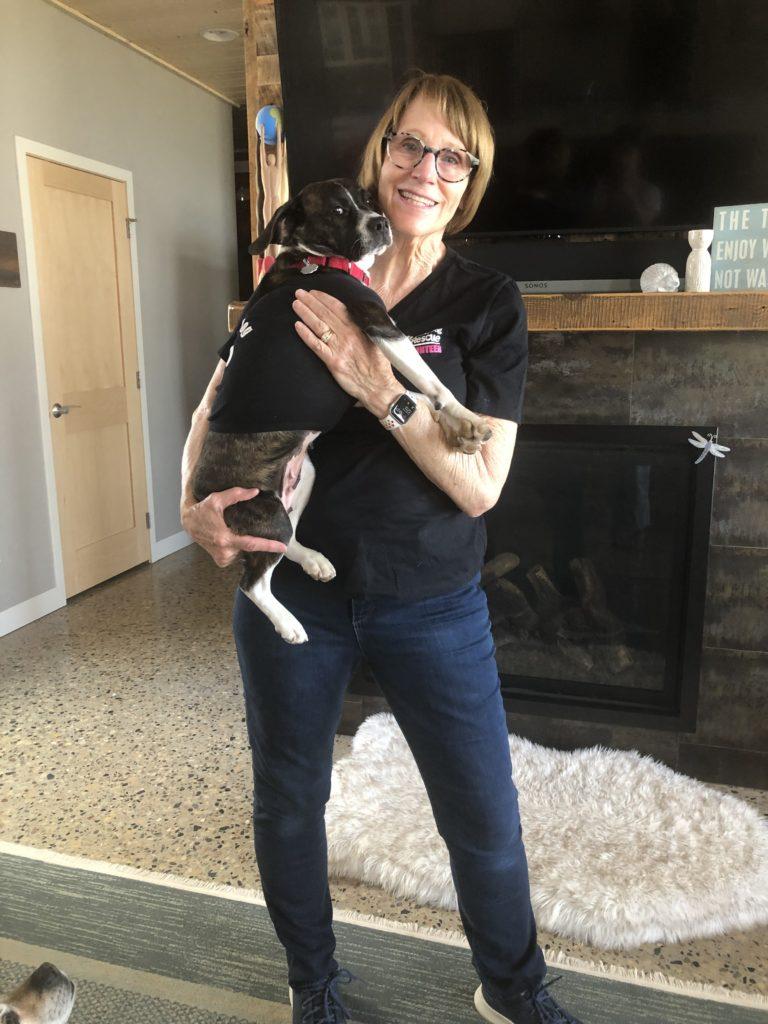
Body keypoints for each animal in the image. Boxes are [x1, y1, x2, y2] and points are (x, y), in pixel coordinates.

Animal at [192, 176, 493, 638]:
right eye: (337, 211)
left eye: (368, 201)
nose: (382, 222)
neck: (318, 262)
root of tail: (200, 494)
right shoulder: (376, 321)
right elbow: (429, 379)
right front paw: (463, 417)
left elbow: (412, 390)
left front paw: (444, 418)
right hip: (264, 511)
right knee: (253, 581)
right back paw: (288, 625)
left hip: (304, 478)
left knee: (285, 544)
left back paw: (314, 561)